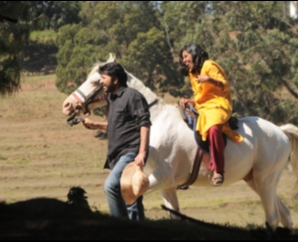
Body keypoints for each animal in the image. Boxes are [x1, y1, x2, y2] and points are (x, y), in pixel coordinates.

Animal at [61, 54, 298, 233]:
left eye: (95, 82)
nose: (67, 105)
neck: (154, 120)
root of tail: (280, 131)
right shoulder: (166, 186)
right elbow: (174, 217)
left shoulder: (160, 178)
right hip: (256, 181)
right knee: (285, 214)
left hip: (265, 180)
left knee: (273, 217)